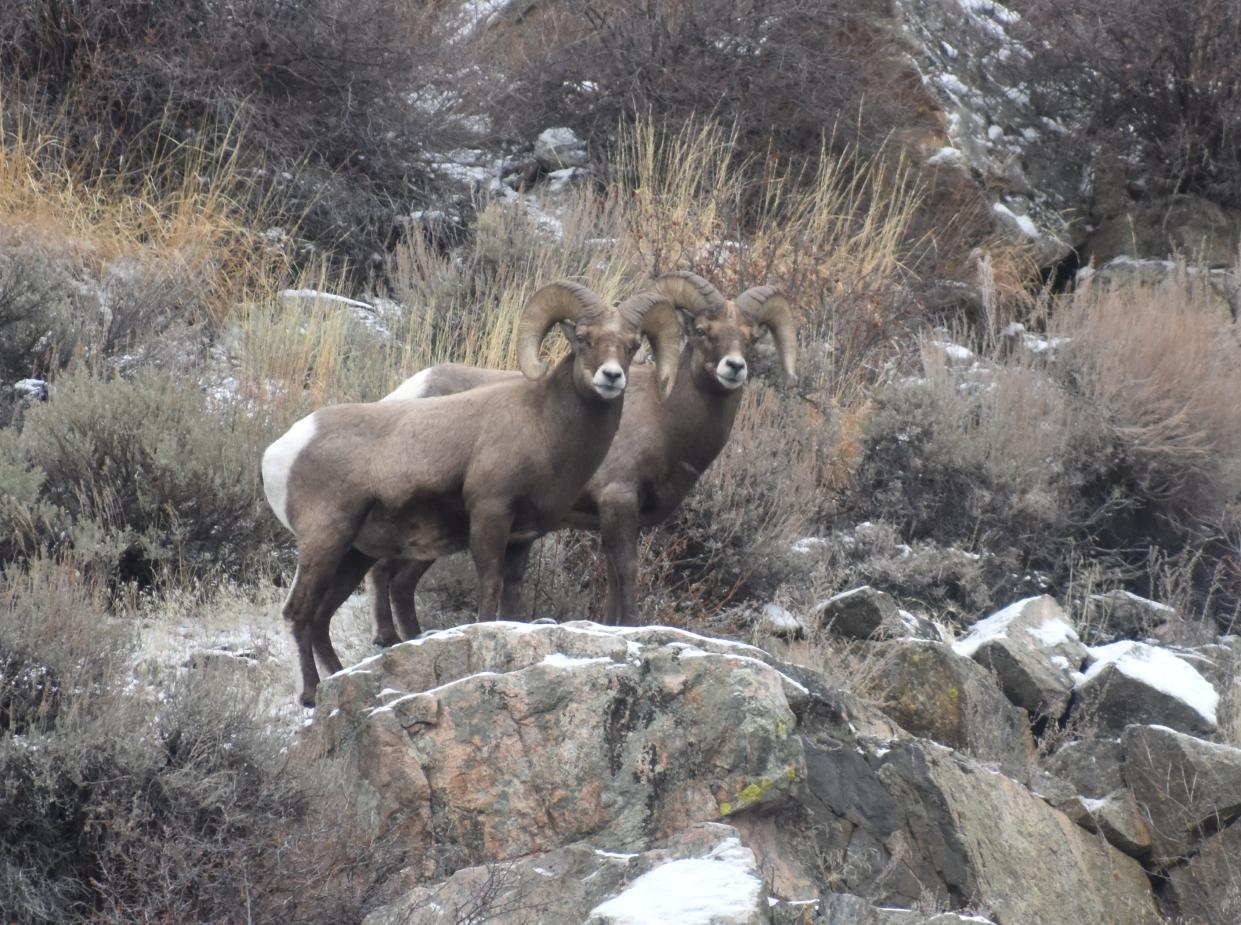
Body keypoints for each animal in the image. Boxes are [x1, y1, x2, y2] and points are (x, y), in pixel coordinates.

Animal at [260, 279, 680, 700]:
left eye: (631, 345)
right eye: (583, 338)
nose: (611, 377)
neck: (543, 425)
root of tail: (278, 452)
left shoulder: (522, 537)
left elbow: (511, 594)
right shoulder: (490, 514)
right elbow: (490, 584)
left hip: (354, 554)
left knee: (320, 618)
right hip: (325, 542)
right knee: (298, 613)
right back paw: (310, 695)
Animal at [367, 270, 794, 640]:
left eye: (751, 339)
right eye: (704, 331)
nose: (734, 368)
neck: (665, 418)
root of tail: (407, 393)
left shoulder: (612, 519)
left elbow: (612, 575)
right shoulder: (617, 500)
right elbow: (627, 569)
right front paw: (631, 626)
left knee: (400, 581)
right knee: (386, 571)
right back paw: (389, 639)